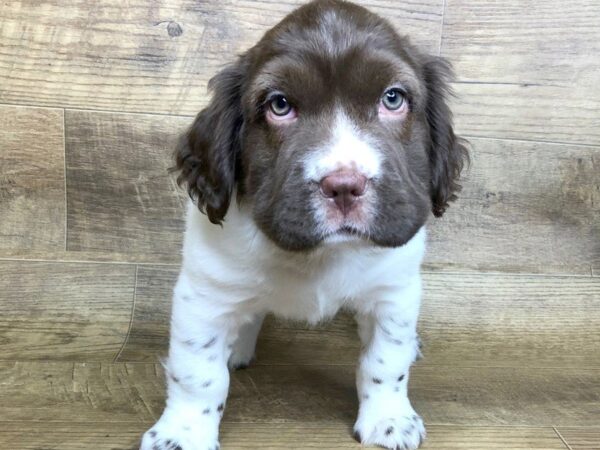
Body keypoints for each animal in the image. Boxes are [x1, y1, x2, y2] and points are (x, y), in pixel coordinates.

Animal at [142, 1, 468, 448]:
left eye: (393, 98)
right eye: (280, 105)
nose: (345, 186)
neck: (319, 256)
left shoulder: (393, 291)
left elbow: (385, 360)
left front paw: (389, 419)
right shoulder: (204, 294)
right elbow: (198, 373)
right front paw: (182, 434)